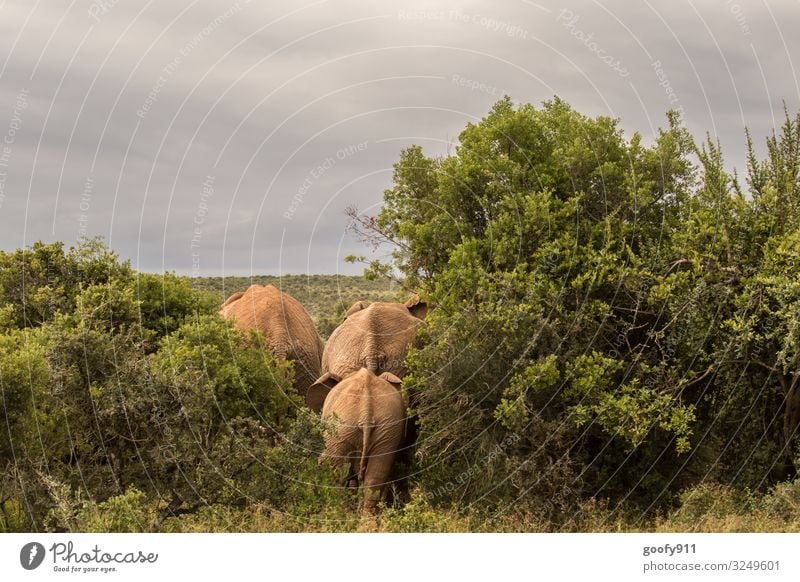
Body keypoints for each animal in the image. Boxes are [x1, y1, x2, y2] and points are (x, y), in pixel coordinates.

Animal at [306, 370, 406, 516]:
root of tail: (366, 411)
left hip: (342, 427)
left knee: (337, 473)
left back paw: (338, 513)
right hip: (389, 427)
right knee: (376, 473)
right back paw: (366, 519)